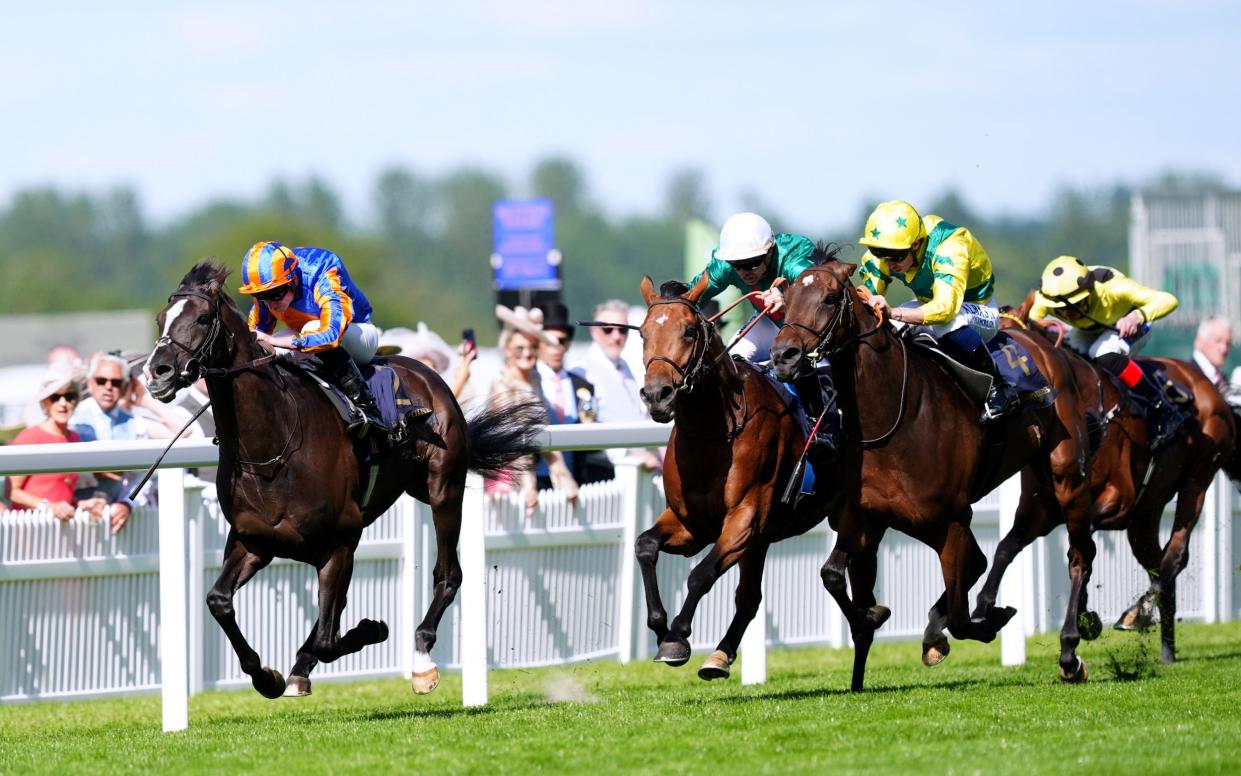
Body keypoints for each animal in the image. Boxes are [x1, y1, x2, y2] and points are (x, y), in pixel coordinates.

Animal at [145, 263, 543, 700]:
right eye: (161, 319)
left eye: (202, 318)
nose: (157, 372)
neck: (272, 447)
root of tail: (430, 375)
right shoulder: (255, 541)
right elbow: (220, 601)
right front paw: (269, 676)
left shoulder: (338, 542)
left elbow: (328, 639)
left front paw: (372, 630)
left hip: (443, 489)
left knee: (448, 574)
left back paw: (422, 658)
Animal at [630, 270, 843, 675]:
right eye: (643, 332)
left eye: (689, 331)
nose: (658, 395)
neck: (714, 434)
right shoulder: (691, 524)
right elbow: (645, 545)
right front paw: (660, 628)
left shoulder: (745, 519)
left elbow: (700, 574)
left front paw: (677, 638)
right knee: (750, 598)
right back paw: (720, 655)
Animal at [769, 257, 1102, 685]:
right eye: (789, 295)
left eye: (828, 298)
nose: (784, 356)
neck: (895, 416)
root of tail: (1046, 345)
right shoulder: (867, 514)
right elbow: (831, 573)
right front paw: (874, 616)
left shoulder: (955, 518)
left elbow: (961, 617)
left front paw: (986, 620)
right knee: (984, 562)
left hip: (1066, 473)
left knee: (1079, 554)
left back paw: (1069, 650)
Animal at [972, 296, 1236, 665]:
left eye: (1008, 350)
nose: (994, 404)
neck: (1089, 415)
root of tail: (1208, 386)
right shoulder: (1041, 510)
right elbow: (1006, 548)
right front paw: (982, 608)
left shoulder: (1116, 500)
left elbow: (1081, 548)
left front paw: (1082, 622)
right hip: (1145, 516)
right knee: (1159, 567)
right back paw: (1166, 650)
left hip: (1198, 478)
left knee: (1175, 556)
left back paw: (1136, 615)